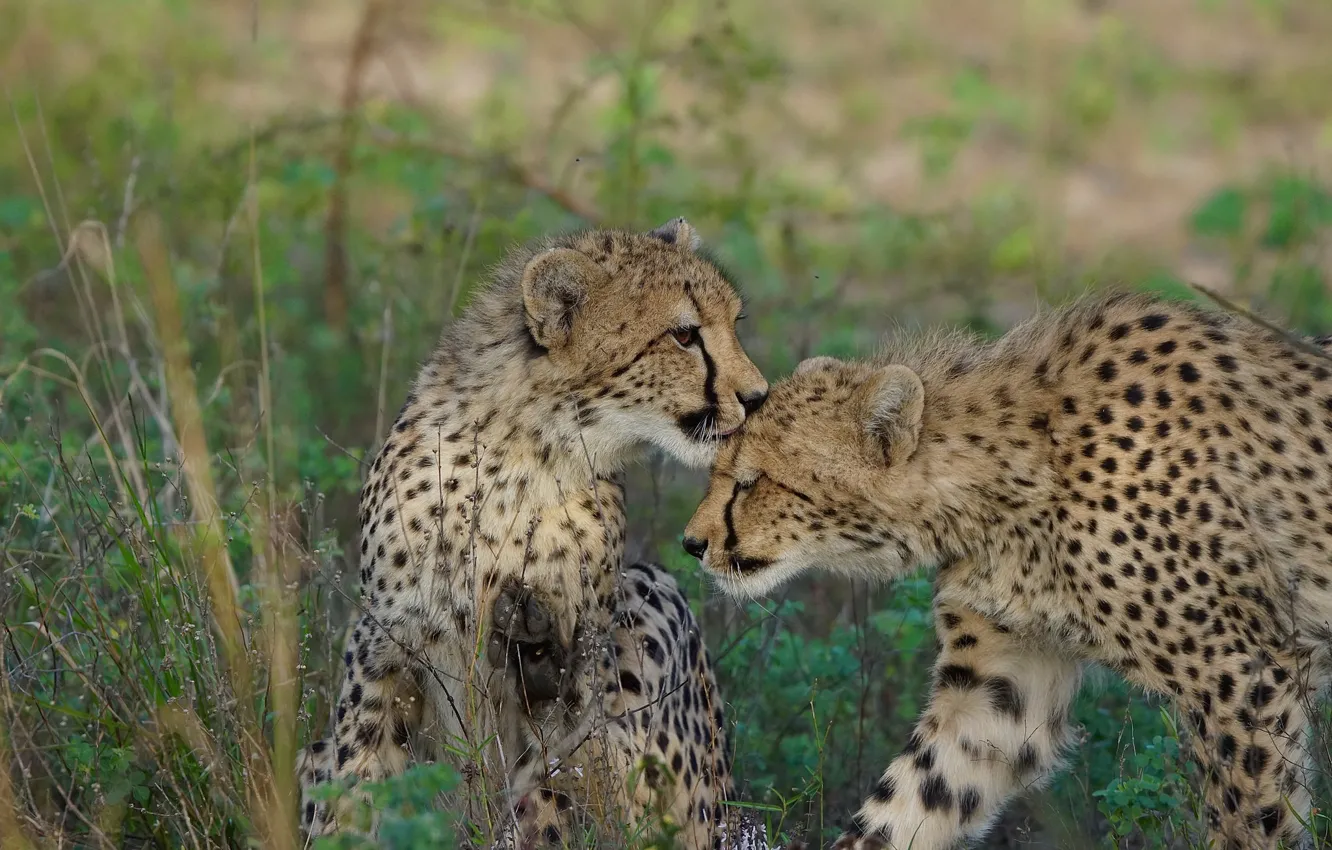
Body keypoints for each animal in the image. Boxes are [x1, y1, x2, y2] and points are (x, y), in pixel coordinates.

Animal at [298, 218, 770, 849]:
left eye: (732, 324)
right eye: (684, 335)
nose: (757, 397)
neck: (530, 453)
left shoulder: (583, 670)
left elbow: (553, 780)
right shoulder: (383, 643)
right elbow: (357, 775)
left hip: (651, 604)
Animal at [682, 291, 1332, 850]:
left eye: (753, 481)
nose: (691, 543)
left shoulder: (1242, 675)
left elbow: (1251, 821)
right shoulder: (1002, 689)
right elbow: (912, 799)